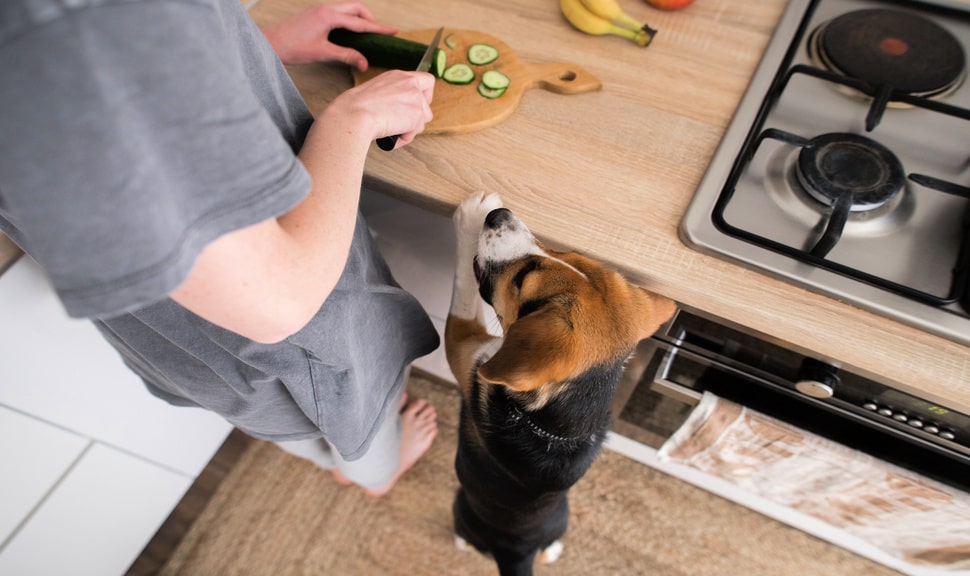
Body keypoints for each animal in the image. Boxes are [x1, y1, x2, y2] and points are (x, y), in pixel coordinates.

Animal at [446, 191, 672, 572]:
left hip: (460, 505)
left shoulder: (464, 349)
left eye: (521, 279)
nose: (498, 215)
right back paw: (551, 551)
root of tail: (516, 550)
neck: (557, 428)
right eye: (565, 253)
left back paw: (461, 542)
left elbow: (463, 283)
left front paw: (472, 215)